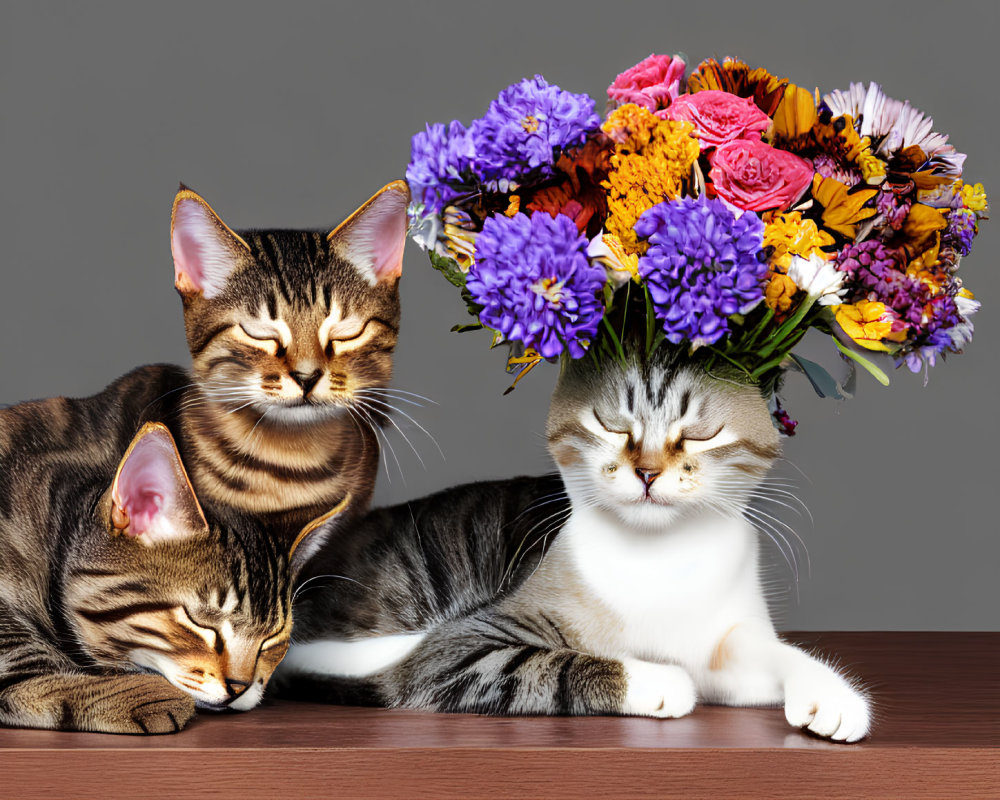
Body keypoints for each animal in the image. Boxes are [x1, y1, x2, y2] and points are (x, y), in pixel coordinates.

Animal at [278, 344, 872, 744]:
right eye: (611, 425)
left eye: (702, 434)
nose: (648, 472)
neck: (663, 558)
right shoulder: (456, 650)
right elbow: (558, 664)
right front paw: (664, 680)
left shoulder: (726, 643)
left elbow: (776, 652)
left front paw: (833, 696)